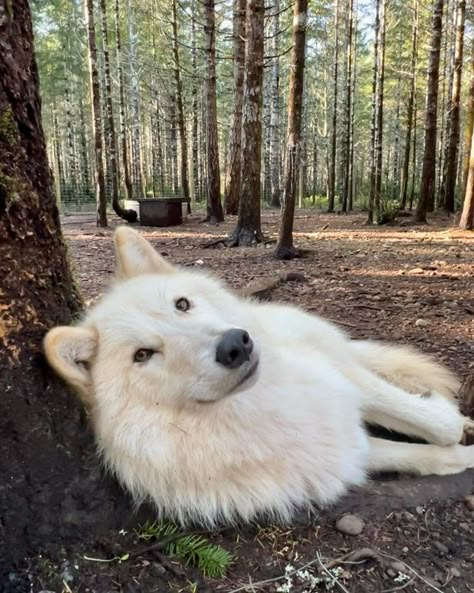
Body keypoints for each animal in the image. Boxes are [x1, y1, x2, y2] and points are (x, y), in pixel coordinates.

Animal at [45, 227, 474, 524]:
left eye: (182, 304)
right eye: (143, 355)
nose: (235, 345)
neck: (263, 406)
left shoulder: (343, 384)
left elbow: (437, 424)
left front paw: (453, 423)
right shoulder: (347, 452)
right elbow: (433, 455)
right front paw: (461, 455)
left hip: (331, 349)